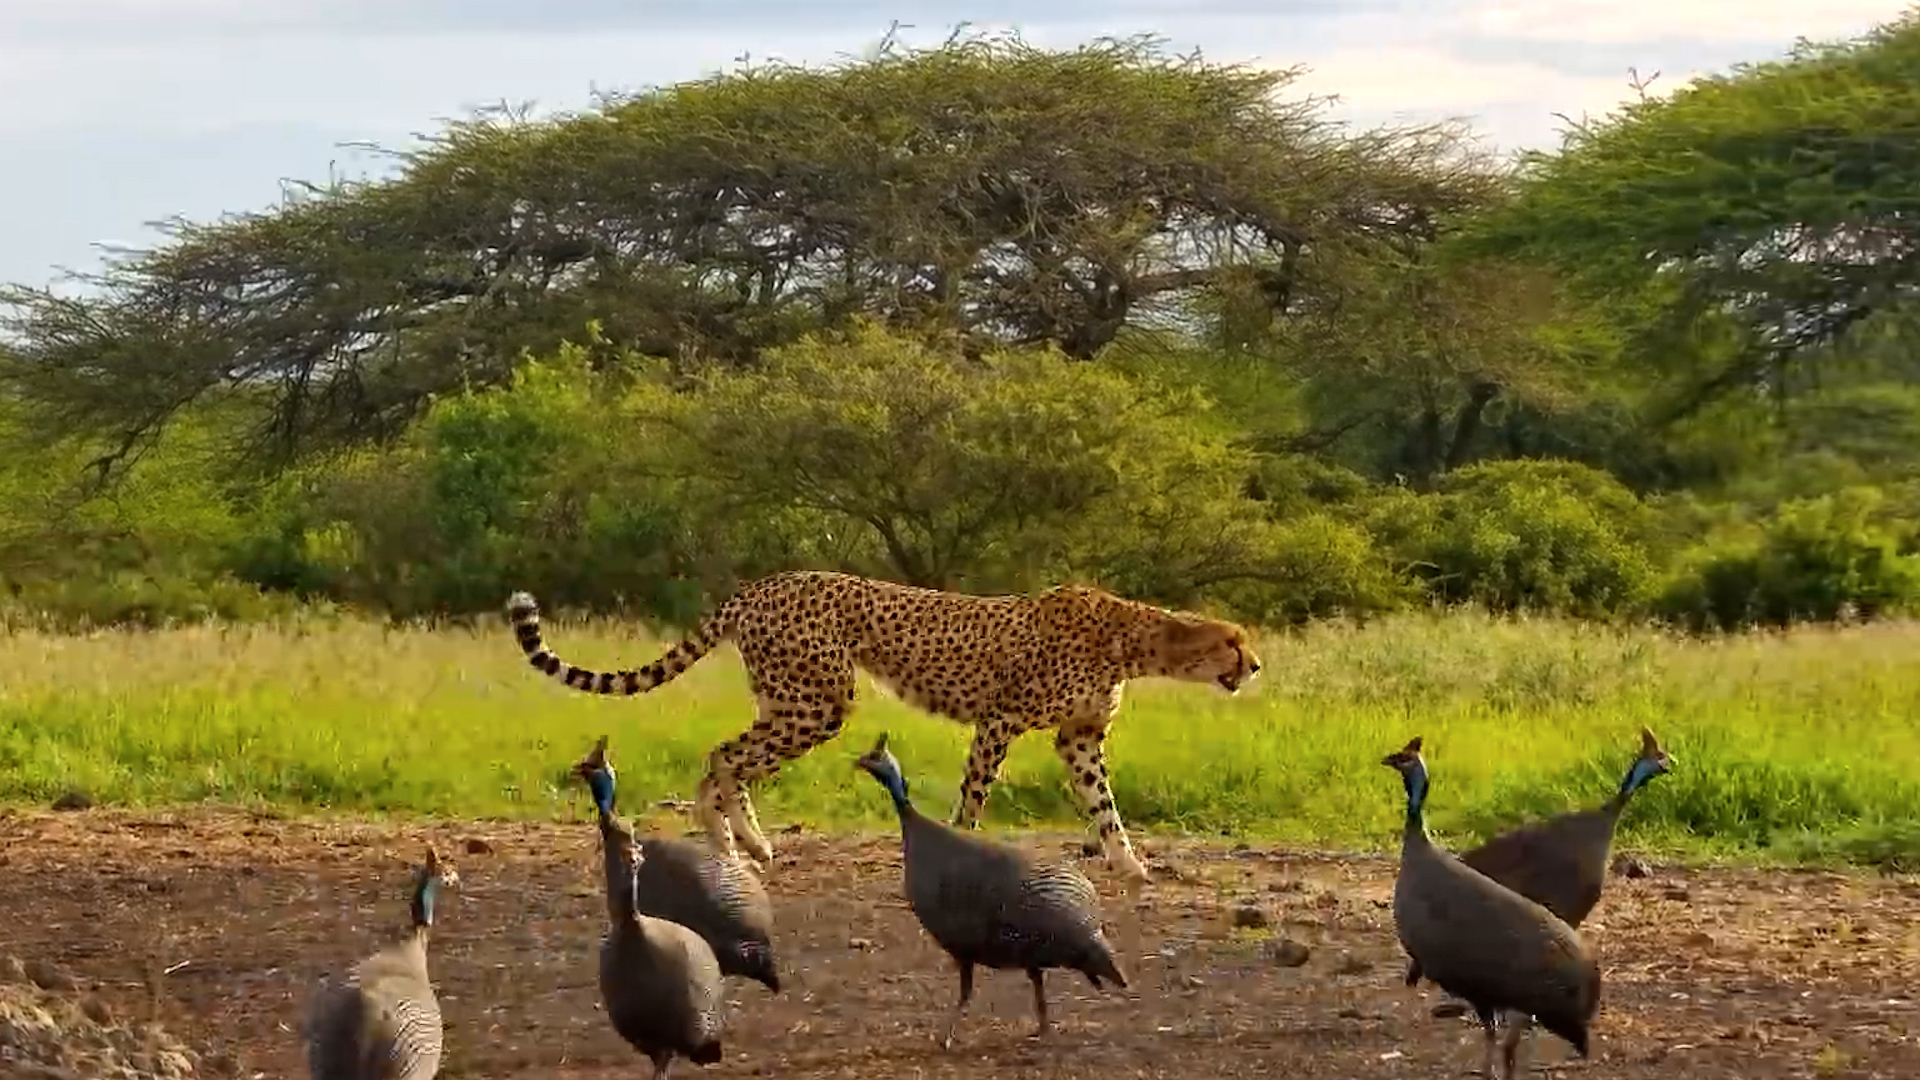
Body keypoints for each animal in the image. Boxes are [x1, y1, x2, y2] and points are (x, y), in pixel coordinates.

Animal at [504, 569, 1262, 885]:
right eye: (1234, 641)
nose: (1255, 665)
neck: (1132, 639)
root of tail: (764, 583)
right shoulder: (999, 720)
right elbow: (975, 797)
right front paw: (965, 850)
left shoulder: (1079, 739)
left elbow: (1105, 808)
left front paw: (1130, 864)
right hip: (818, 701)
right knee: (724, 754)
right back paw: (730, 844)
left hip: (796, 699)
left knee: (733, 757)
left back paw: (750, 843)